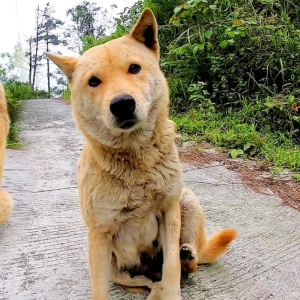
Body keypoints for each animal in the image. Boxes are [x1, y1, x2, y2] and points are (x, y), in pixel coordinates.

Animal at [47, 8, 238, 300]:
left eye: (134, 68)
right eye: (94, 81)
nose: (122, 104)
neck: (136, 160)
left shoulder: (169, 211)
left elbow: (171, 269)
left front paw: (173, 287)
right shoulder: (99, 235)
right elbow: (100, 289)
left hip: (188, 199)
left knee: (185, 265)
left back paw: (187, 256)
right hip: (119, 268)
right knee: (142, 282)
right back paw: (152, 286)